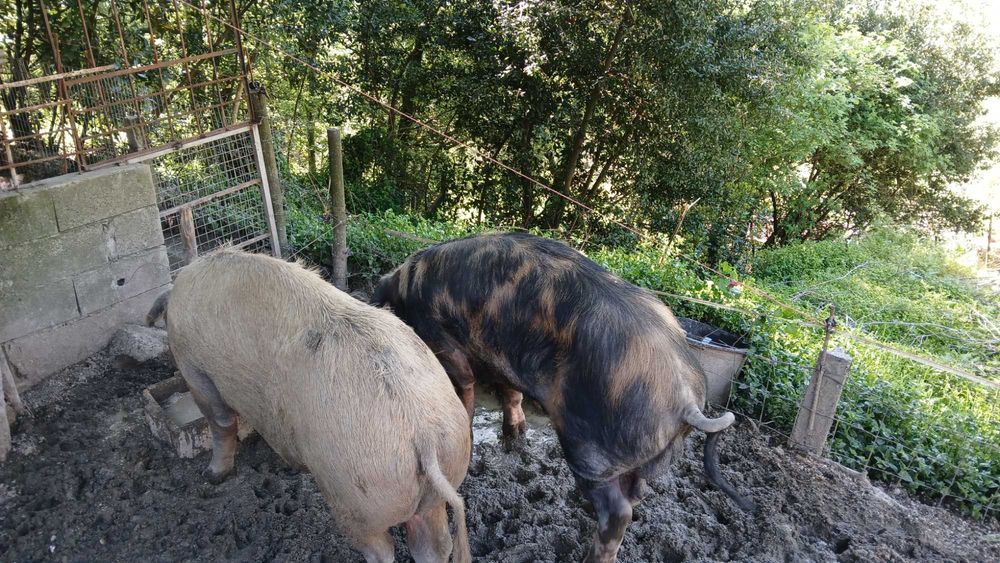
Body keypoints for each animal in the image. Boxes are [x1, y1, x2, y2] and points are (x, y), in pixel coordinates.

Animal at [146, 248, 471, 563]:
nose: (209, 476)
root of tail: (424, 436)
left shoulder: (195, 370)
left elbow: (220, 424)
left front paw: (212, 477)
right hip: (442, 479)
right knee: (433, 545)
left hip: (355, 495)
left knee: (381, 549)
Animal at [372, 232, 755, 563]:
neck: (408, 285)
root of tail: (687, 398)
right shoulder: (502, 361)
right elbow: (511, 393)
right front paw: (513, 439)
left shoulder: (444, 341)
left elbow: (464, 387)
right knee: (637, 493)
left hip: (588, 449)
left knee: (619, 511)